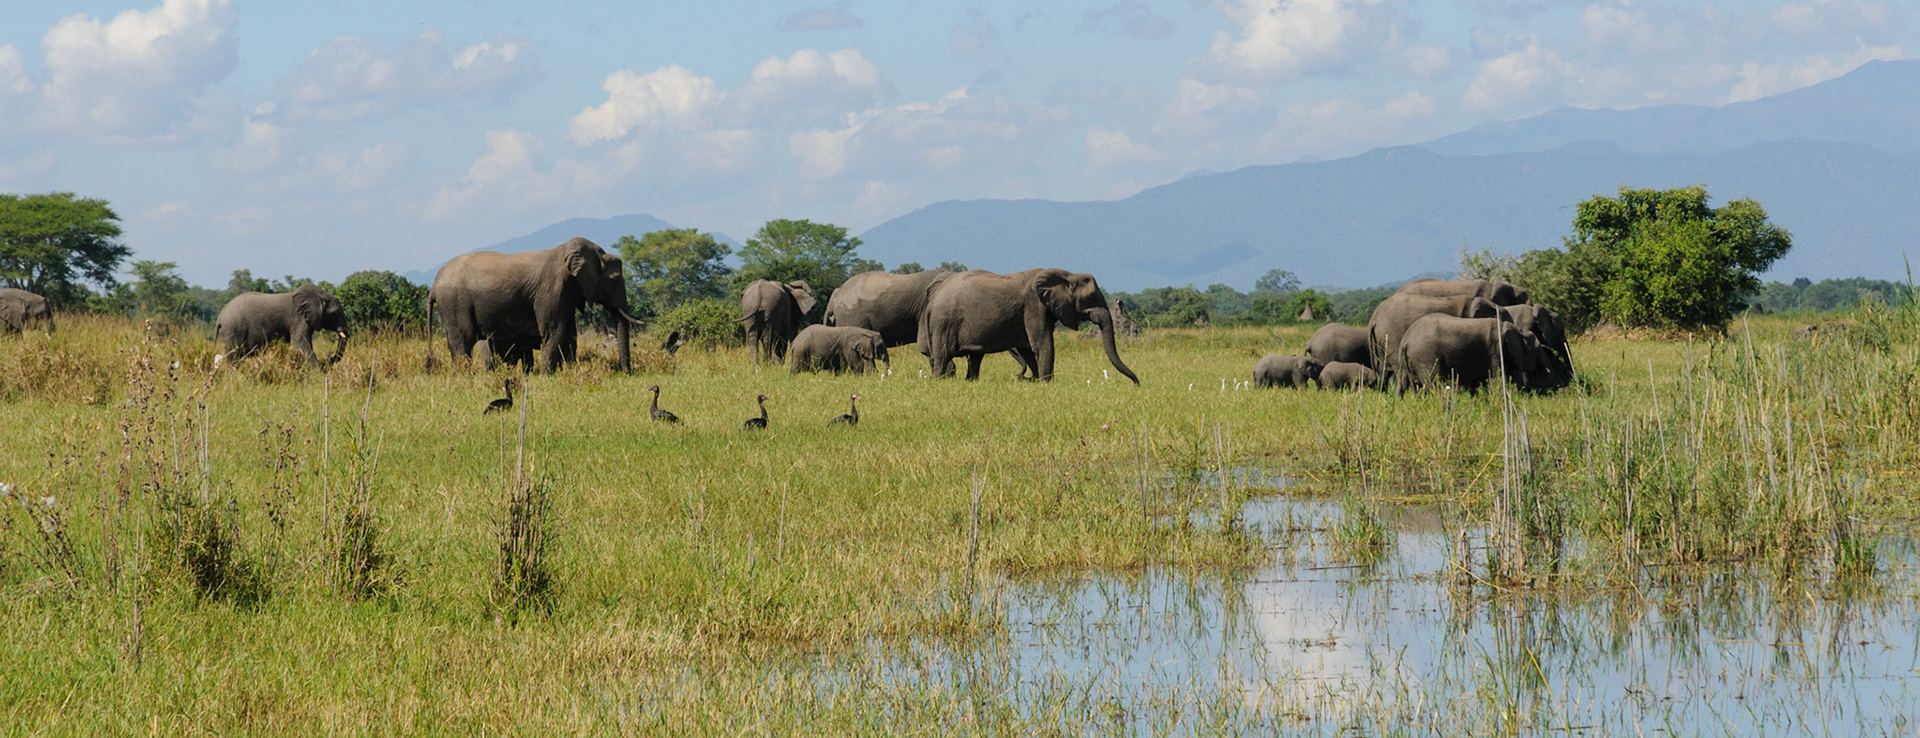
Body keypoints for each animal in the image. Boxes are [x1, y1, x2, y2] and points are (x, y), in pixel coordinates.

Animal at [215, 284, 349, 367]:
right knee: (234, 354)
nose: (330, 357)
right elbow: (300, 344)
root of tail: (220, 316)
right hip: (233, 328)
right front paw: (318, 374)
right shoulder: (298, 318)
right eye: (335, 313)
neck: (319, 295)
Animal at [430, 237, 637, 373]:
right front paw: (547, 376)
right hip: (455, 303)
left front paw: (569, 371)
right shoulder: (551, 291)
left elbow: (570, 334)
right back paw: (466, 376)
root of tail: (434, 285)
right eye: (615, 280)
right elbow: (554, 330)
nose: (626, 373)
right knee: (463, 340)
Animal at [918, 268, 1139, 384]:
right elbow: (1042, 344)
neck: (1066, 274)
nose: (1136, 384)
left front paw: (1038, 381)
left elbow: (1028, 349)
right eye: (1090, 297)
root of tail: (933, 299)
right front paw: (1047, 383)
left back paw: (970, 381)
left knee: (975, 357)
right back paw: (938, 381)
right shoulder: (1034, 305)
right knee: (943, 355)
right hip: (944, 322)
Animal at [1398, 314, 1557, 394]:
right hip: (1427, 357)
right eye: (1537, 350)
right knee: (1435, 386)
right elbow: (1499, 379)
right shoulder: (1496, 351)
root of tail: (1405, 340)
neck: (1516, 330)